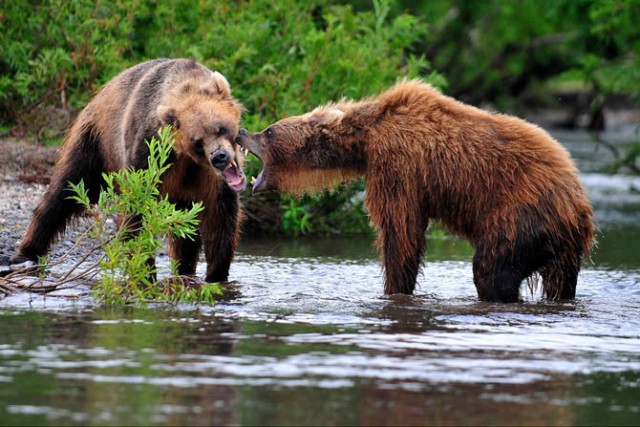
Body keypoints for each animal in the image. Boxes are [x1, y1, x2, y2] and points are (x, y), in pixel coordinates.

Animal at [13, 57, 248, 284]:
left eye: (220, 128)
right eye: (197, 142)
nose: (219, 157)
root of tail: (102, 91)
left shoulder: (208, 178)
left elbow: (220, 216)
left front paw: (217, 275)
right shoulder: (150, 153)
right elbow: (136, 211)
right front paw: (145, 272)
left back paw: (184, 271)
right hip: (95, 144)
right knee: (65, 191)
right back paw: (26, 254)